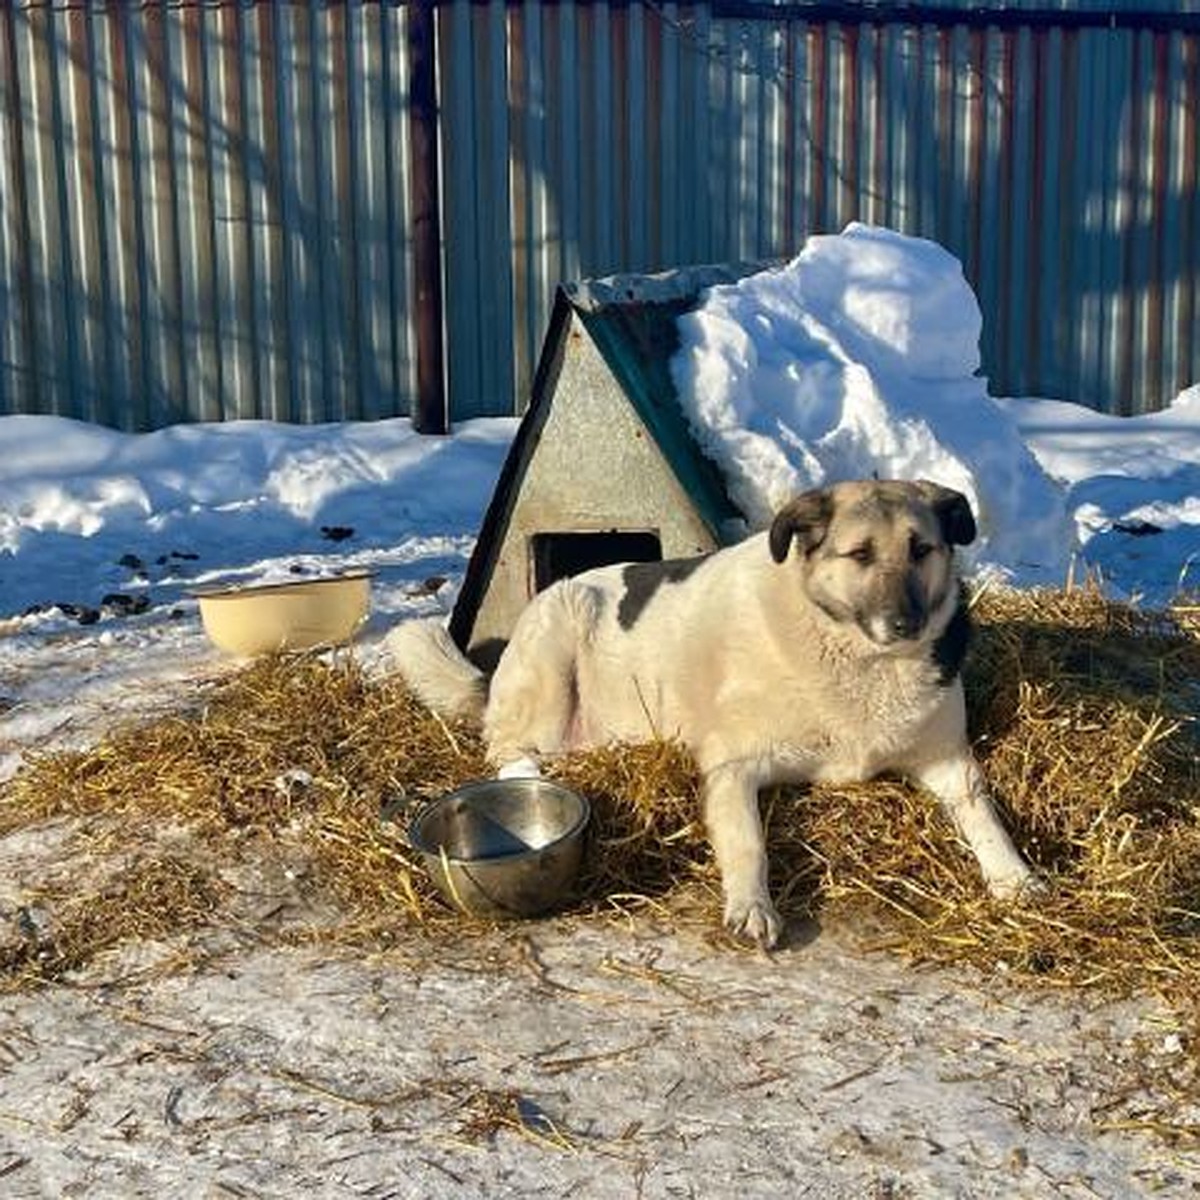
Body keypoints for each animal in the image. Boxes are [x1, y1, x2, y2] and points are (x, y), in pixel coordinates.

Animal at [388, 477, 1036, 945]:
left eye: (921, 550)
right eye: (860, 554)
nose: (907, 624)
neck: (852, 655)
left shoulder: (950, 763)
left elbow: (984, 812)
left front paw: (1015, 876)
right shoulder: (732, 768)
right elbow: (748, 840)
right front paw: (751, 904)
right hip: (556, 642)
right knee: (509, 754)